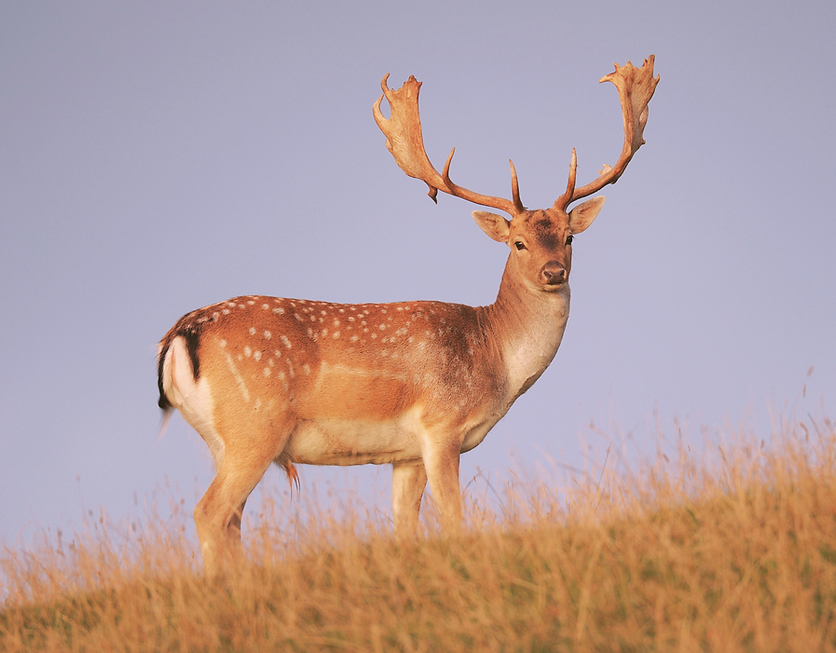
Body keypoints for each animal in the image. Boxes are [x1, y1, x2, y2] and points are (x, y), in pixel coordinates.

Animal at [157, 57, 659, 573]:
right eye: (518, 243)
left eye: (568, 237)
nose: (554, 271)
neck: (494, 358)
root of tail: (181, 333)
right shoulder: (440, 427)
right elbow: (454, 519)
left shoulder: (406, 455)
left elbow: (404, 529)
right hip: (254, 428)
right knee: (209, 512)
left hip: (223, 441)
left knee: (231, 520)